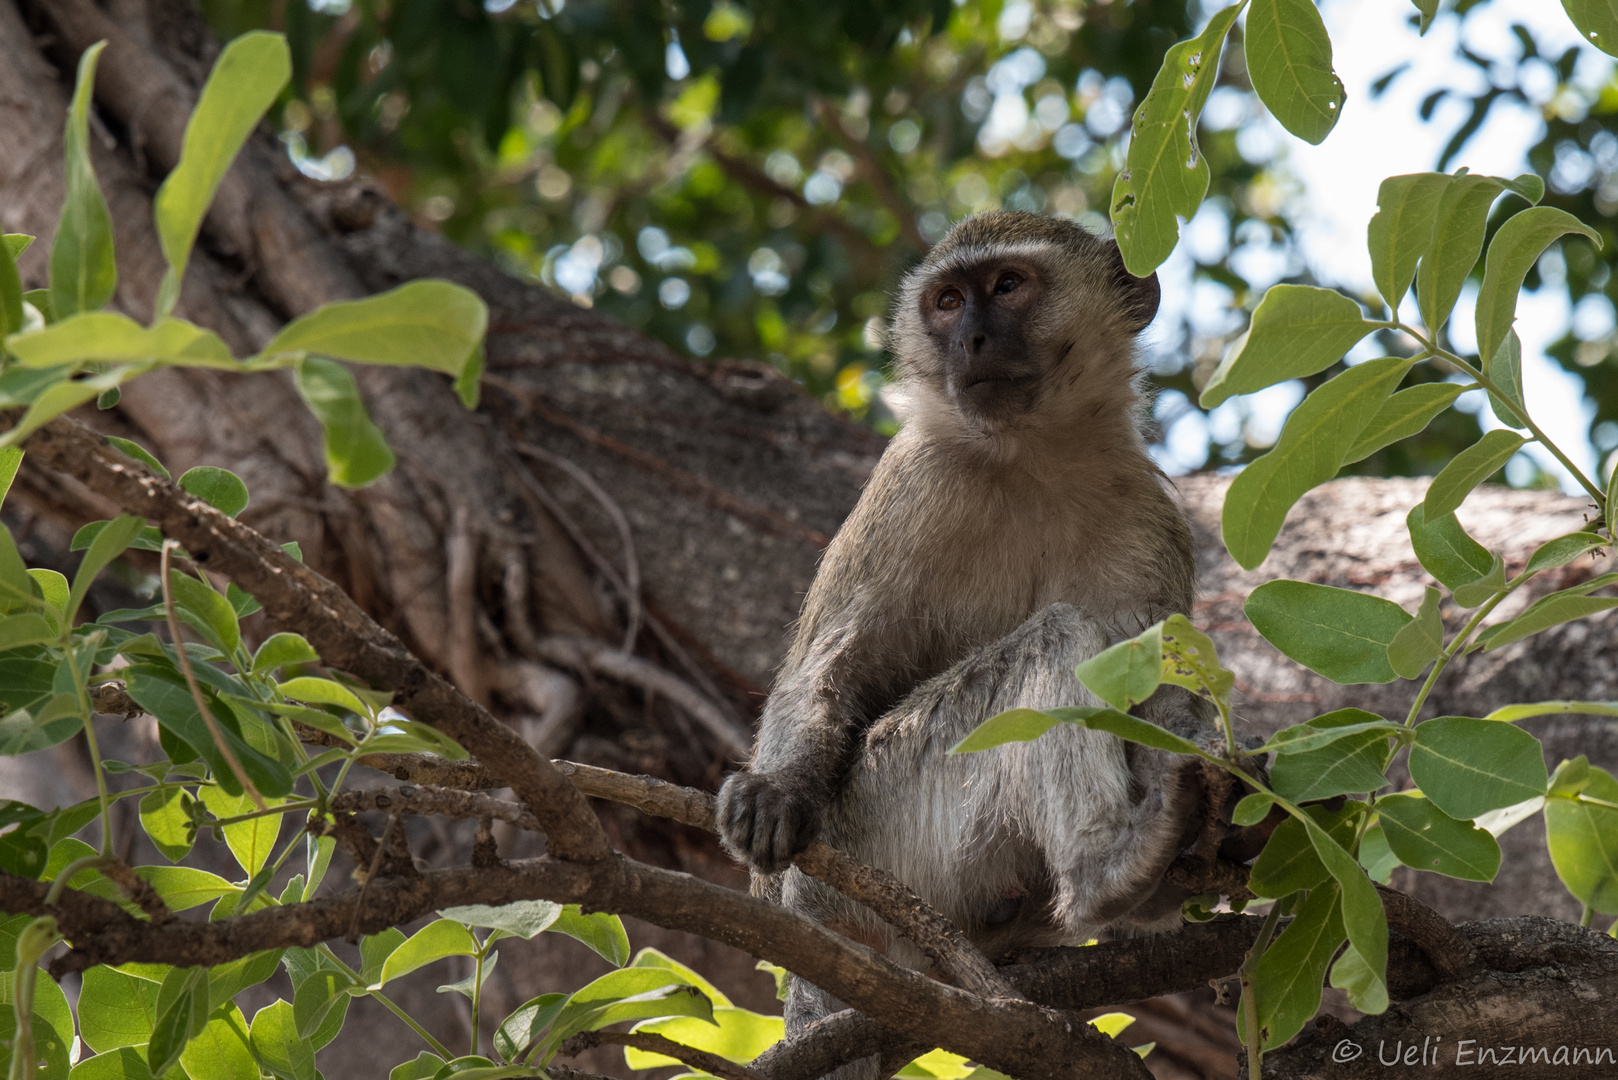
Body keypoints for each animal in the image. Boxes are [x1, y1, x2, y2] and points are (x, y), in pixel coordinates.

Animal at [718, 210, 1216, 1062]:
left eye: (1008, 286)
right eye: (948, 302)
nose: (972, 340)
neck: (1033, 457)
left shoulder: (1151, 518)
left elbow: (1160, 698)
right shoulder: (913, 486)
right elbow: (830, 668)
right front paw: (774, 792)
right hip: (873, 843)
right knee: (1056, 641)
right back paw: (1109, 869)